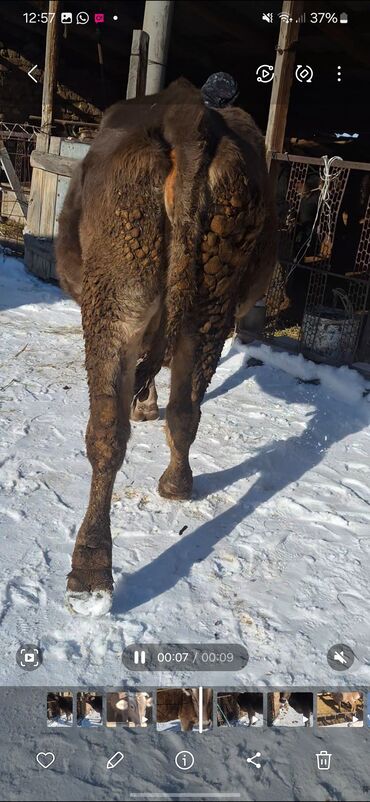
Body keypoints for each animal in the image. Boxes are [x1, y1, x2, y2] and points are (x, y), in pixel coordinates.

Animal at [56, 76, 278, 612]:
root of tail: (186, 112)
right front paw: (147, 403)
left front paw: (142, 404)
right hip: (211, 297)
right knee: (185, 407)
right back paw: (175, 487)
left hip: (114, 289)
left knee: (106, 431)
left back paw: (89, 570)